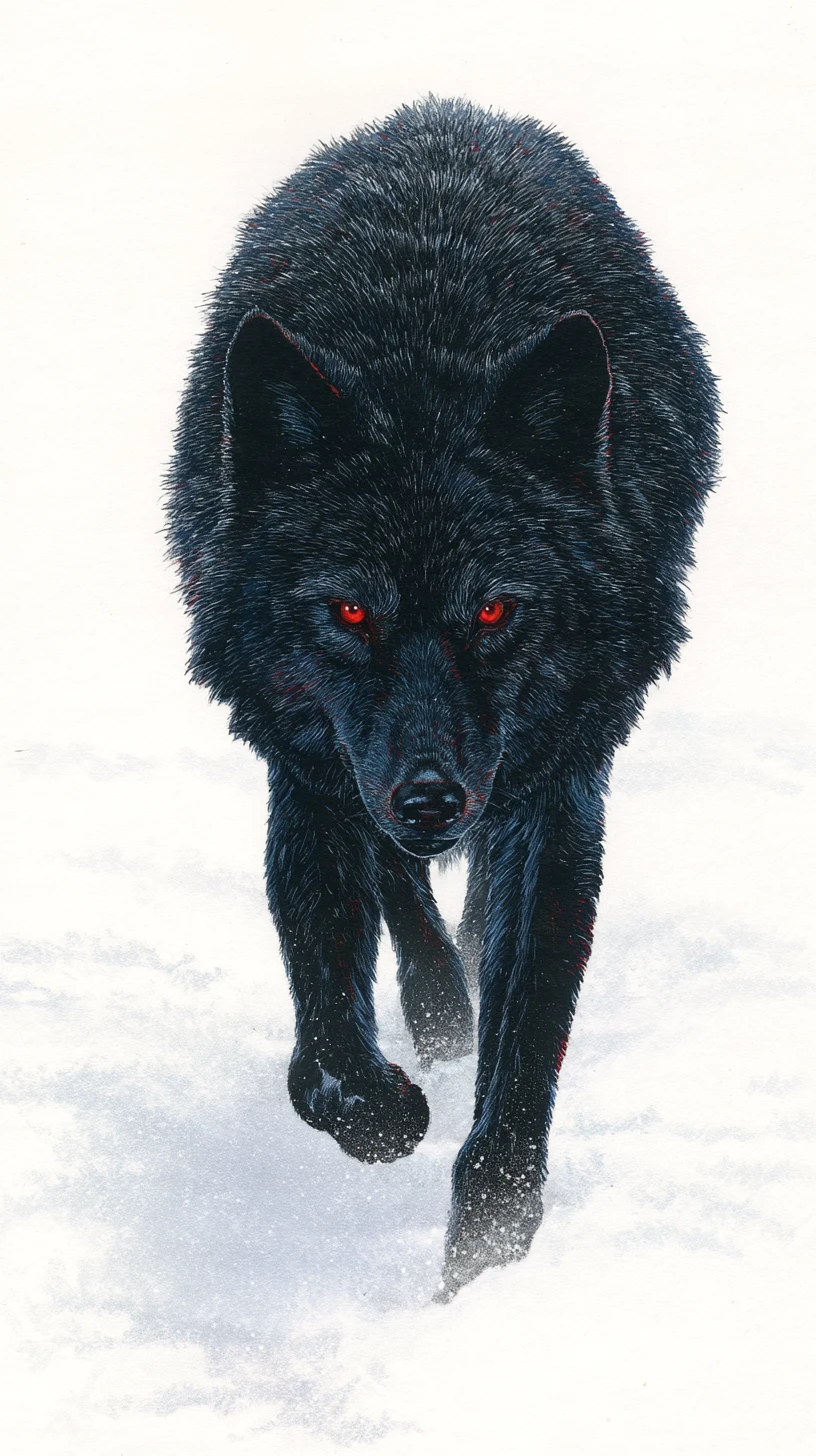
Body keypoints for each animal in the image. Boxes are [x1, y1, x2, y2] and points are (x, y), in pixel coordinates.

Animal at [167, 97, 719, 1297]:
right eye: (351, 612)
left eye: (496, 610)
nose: (431, 798)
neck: (422, 363)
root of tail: (445, 115)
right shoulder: (312, 775)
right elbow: (322, 1045)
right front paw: (389, 1106)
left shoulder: (555, 799)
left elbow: (520, 1071)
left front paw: (480, 1274)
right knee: (403, 904)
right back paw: (436, 1017)